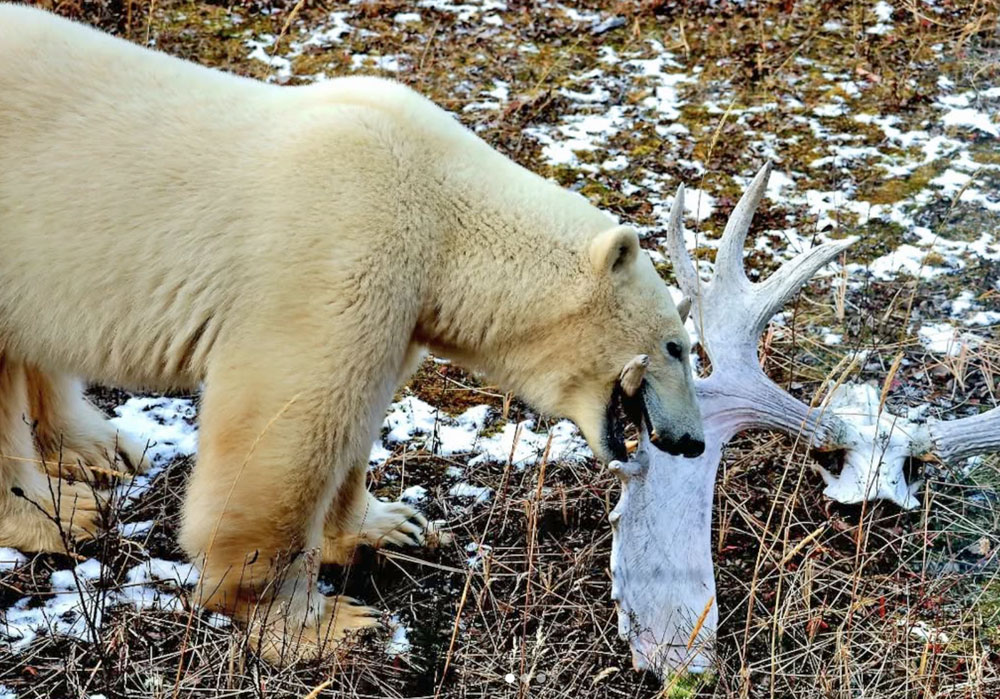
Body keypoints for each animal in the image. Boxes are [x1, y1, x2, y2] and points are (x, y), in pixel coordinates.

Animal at [0, 4, 704, 663]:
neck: (443, 208)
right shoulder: (340, 251)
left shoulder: (400, 305)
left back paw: (97, 451)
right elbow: (289, 428)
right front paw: (320, 625)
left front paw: (390, 526)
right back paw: (61, 514)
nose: (691, 441)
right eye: (677, 345)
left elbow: (356, 419)